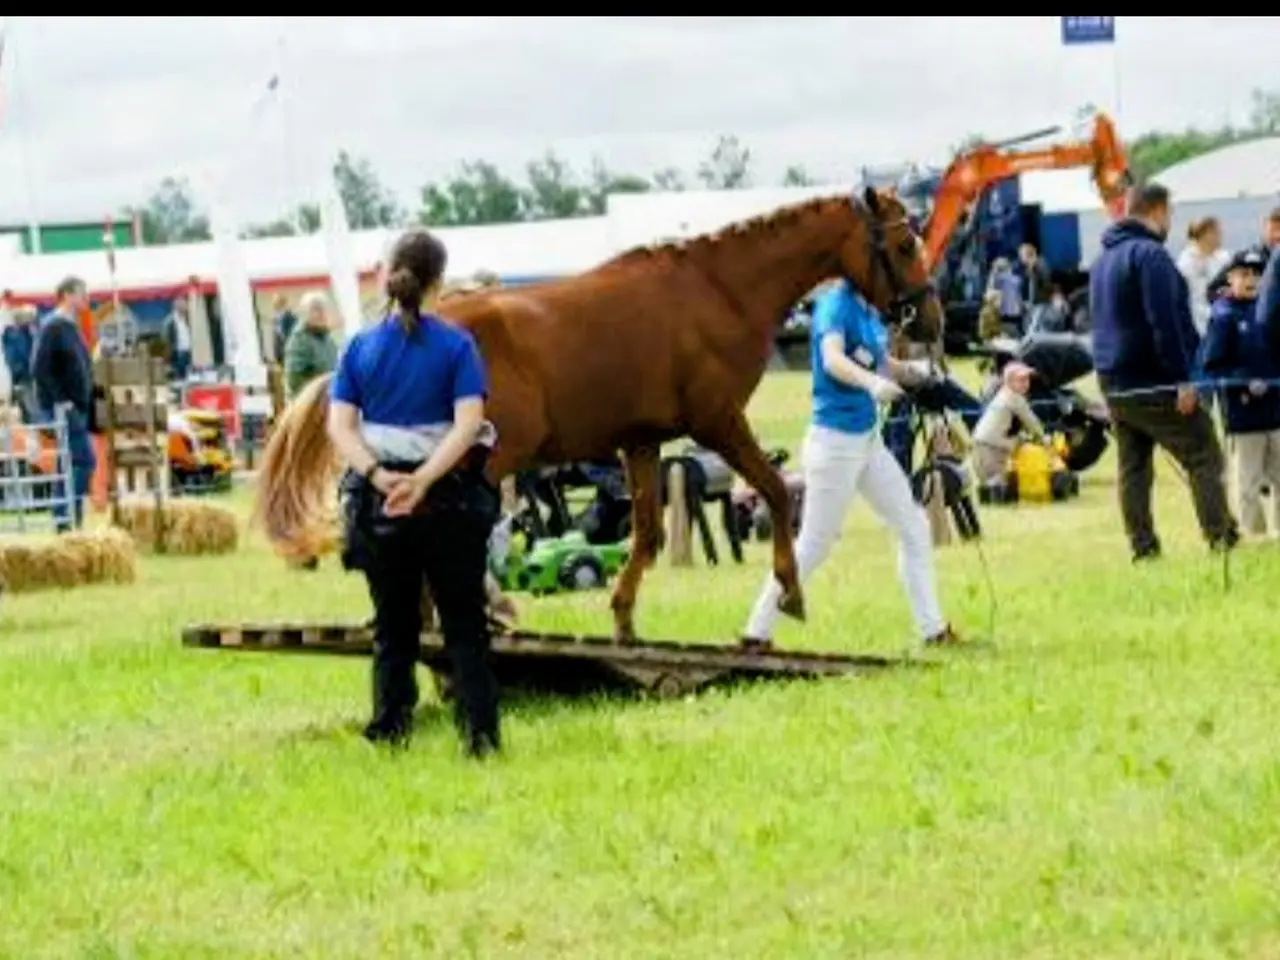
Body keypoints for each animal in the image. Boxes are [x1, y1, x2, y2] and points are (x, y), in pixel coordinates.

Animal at [255, 186, 944, 642]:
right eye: (905, 242)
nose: (931, 320)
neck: (717, 290)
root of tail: (401, 323)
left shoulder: (640, 442)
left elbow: (646, 532)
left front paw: (624, 618)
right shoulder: (718, 422)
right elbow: (774, 490)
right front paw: (791, 591)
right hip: (489, 457)